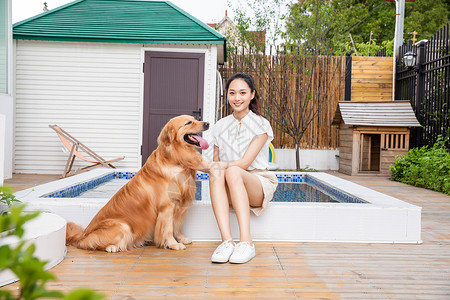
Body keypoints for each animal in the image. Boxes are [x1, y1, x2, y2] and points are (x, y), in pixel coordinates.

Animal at [66, 116, 210, 252]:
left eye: (195, 119)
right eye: (188, 122)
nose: (207, 123)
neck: (176, 158)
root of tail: (82, 236)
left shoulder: (180, 204)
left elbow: (177, 226)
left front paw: (181, 238)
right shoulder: (167, 206)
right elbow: (168, 229)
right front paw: (173, 244)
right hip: (122, 226)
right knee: (93, 244)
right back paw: (112, 247)